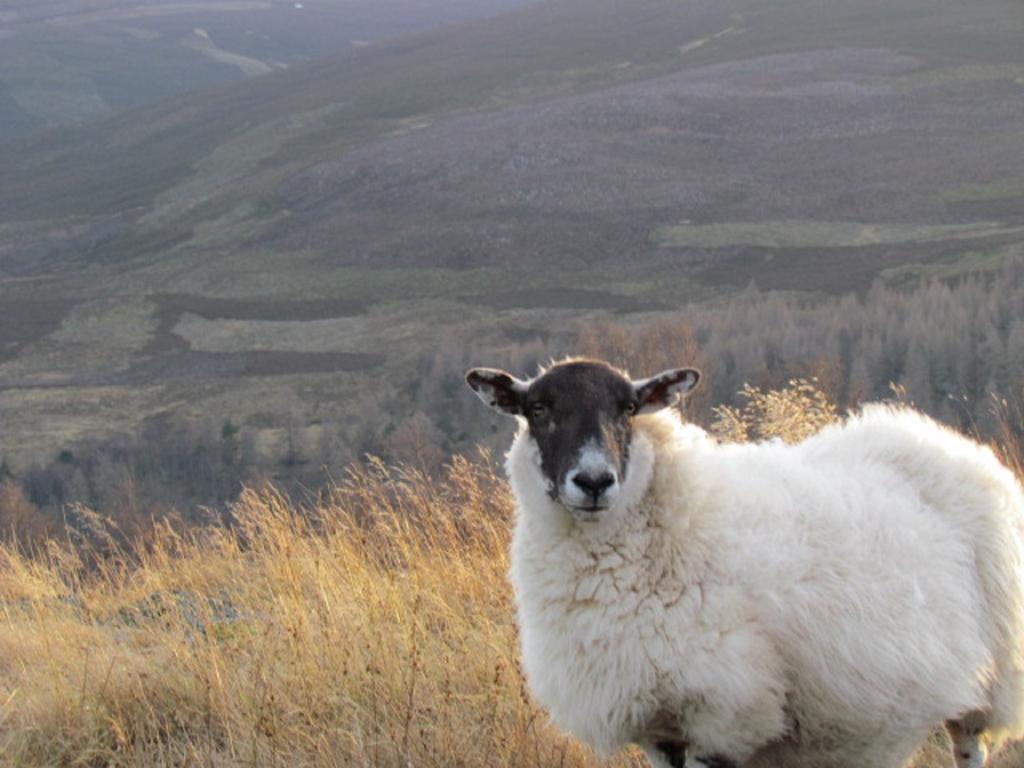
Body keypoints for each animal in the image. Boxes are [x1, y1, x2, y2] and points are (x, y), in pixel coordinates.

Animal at [468, 360, 1024, 768]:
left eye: (628, 408)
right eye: (538, 408)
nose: (594, 481)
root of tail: (949, 442)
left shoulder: (723, 714)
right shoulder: (658, 727)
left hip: (992, 680)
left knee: (971, 745)